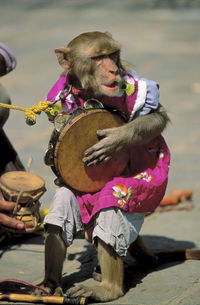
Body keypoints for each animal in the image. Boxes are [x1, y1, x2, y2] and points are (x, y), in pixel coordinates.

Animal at [36, 31, 200, 302]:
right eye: (98, 58)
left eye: (112, 55)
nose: (113, 69)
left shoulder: (133, 86)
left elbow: (155, 116)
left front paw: (115, 140)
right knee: (61, 211)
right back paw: (50, 285)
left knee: (111, 210)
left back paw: (108, 289)